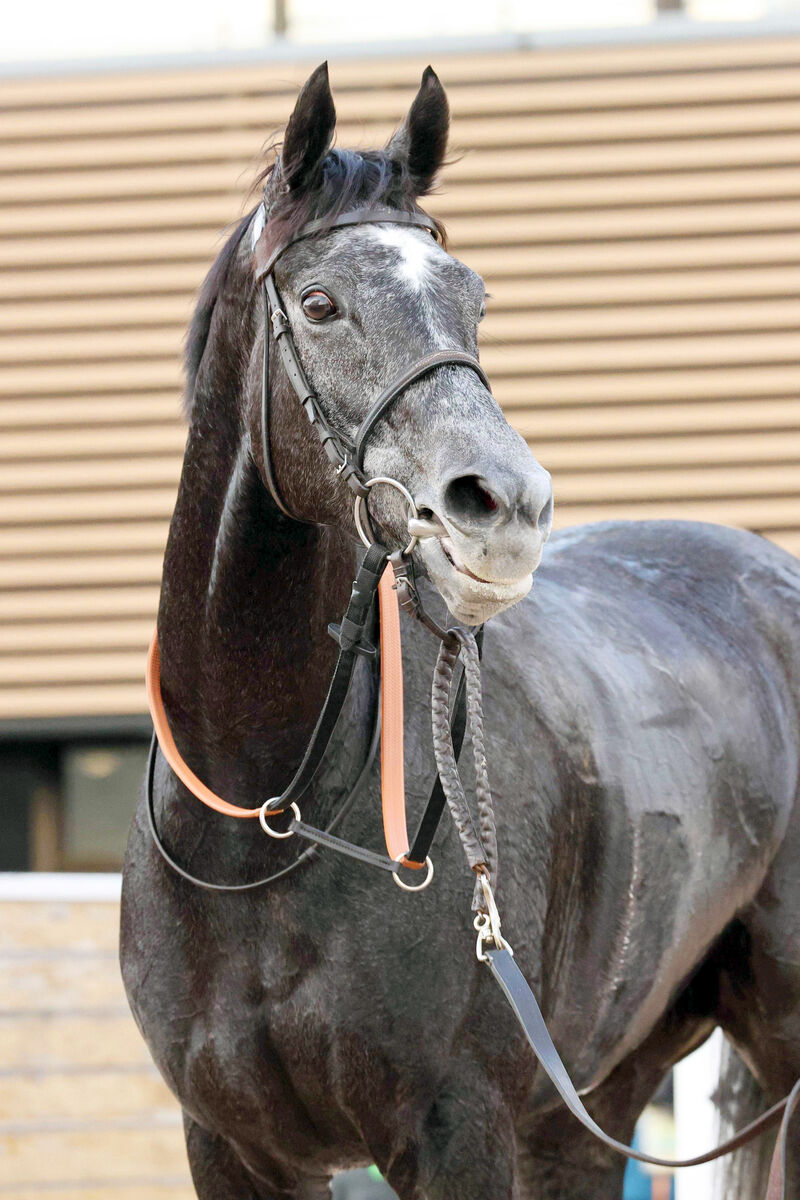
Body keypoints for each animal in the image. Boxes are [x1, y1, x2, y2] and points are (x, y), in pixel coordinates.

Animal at [120, 63, 800, 1199]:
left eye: (472, 298)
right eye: (320, 303)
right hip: (593, 1101)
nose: (508, 507)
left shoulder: (456, 1130)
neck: (267, 816)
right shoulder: (232, 1147)